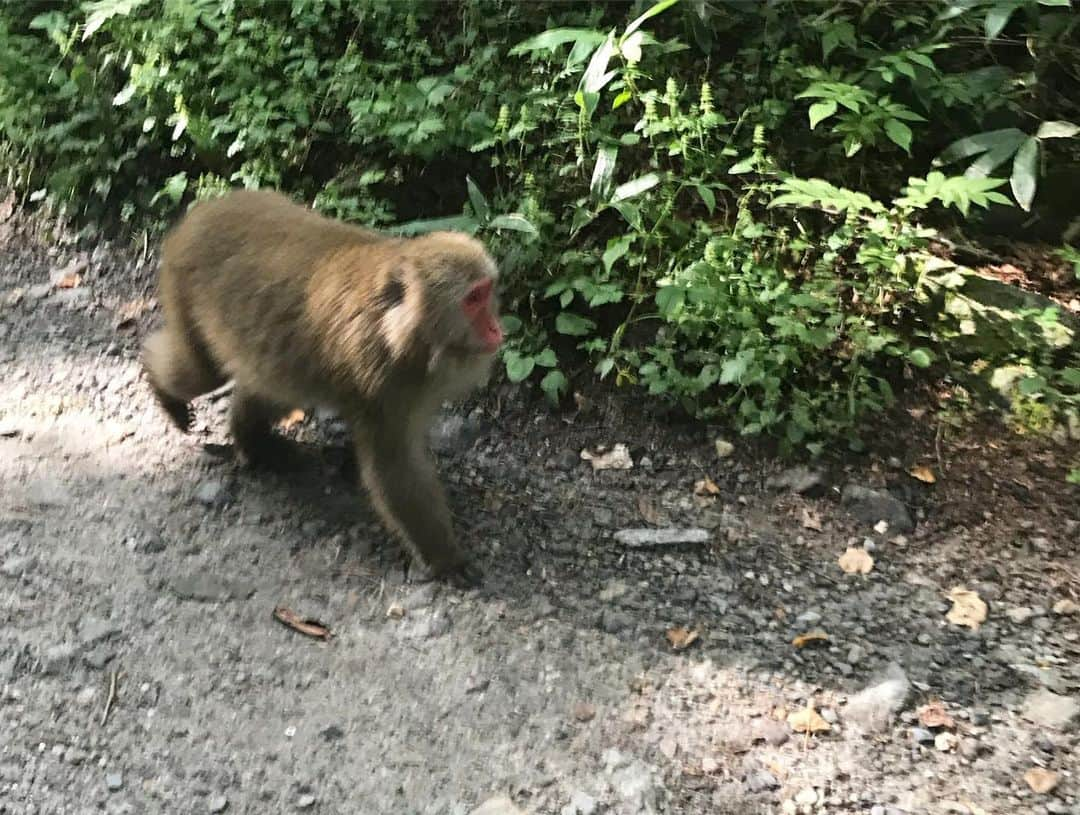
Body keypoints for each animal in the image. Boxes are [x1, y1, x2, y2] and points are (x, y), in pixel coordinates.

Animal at [138, 189, 501, 587]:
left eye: (488, 292)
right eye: (473, 299)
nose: (496, 328)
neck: (405, 330)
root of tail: (202, 212)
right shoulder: (380, 381)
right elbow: (395, 468)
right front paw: (446, 559)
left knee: (275, 386)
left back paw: (253, 441)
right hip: (184, 288)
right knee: (200, 373)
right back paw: (161, 385)